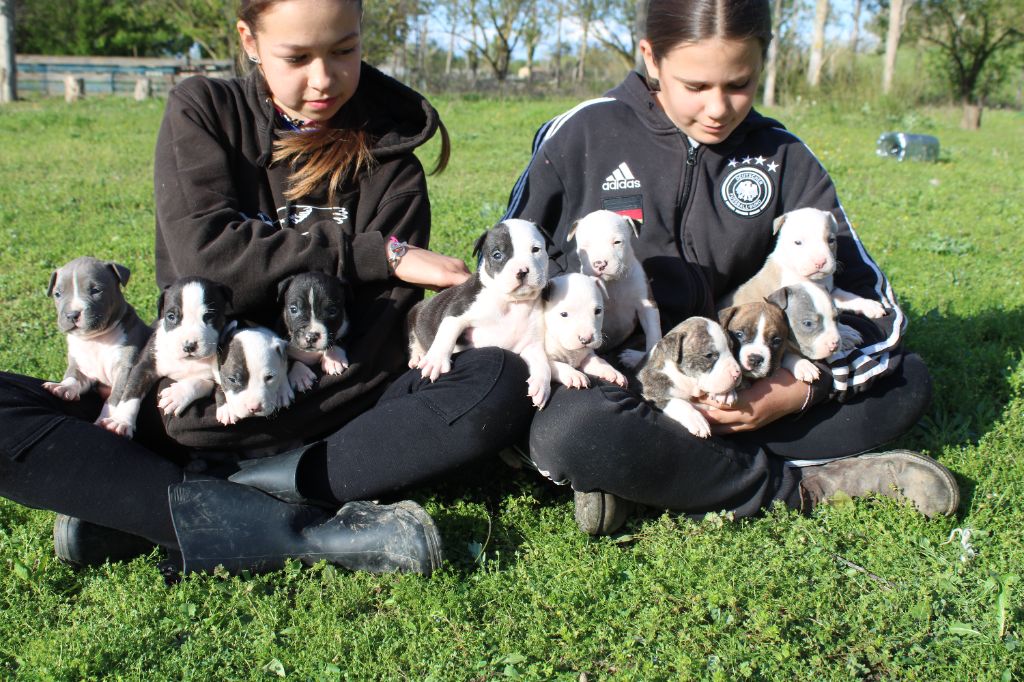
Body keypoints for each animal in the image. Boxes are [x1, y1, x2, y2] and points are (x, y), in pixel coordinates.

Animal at [41, 254, 150, 413]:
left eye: (96, 290)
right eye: (57, 294)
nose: (72, 314)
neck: (95, 338)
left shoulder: (125, 369)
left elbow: (115, 398)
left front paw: (108, 417)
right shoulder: (81, 366)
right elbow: (73, 375)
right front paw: (63, 387)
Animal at [99, 274, 232, 438]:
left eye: (210, 316)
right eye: (171, 316)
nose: (189, 345)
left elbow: (203, 382)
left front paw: (177, 395)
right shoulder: (144, 366)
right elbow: (131, 392)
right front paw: (121, 421)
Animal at [405, 218, 552, 405]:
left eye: (535, 250)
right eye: (497, 255)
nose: (522, 271)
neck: (512, 302)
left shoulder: (531, 344)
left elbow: (543, 363)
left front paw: (541, 385)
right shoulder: (457, 312)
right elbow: (446, 335)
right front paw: (435, 361)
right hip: (414, 314)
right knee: (413, 339)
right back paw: (418, 355)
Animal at [569, 208, 663, 356]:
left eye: (617, 242)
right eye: (585, 246)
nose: (600, 263)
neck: (612, 283)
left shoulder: (647, 304)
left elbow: (653, 333)